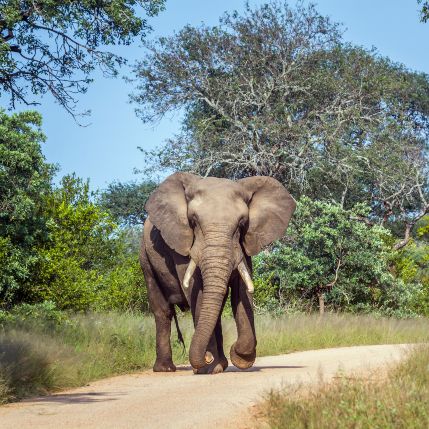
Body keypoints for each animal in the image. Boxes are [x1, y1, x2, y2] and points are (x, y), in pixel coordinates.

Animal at [140, 172, 294, 372]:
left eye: (242, 223)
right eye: (193, 221)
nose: (206, 357)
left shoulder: (243, 245)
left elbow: (241, 292)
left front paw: (239, 358)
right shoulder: (182, 243)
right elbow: (195, 291)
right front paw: (209, 368)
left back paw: (220, 363)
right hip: (145, 258)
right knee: (162, 311)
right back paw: (166, 369)